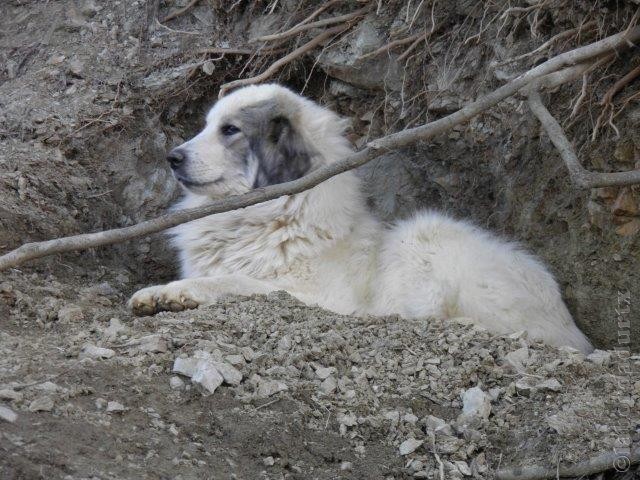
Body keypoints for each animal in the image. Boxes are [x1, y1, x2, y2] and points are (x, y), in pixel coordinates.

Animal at [130, 83, 596, 352]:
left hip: (425, 234)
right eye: (207, 125)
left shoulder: (314, 298)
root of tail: (575, 329)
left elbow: (231, 281)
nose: (172, 157)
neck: (277, 213)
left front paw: (171, 292)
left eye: (230, 130)